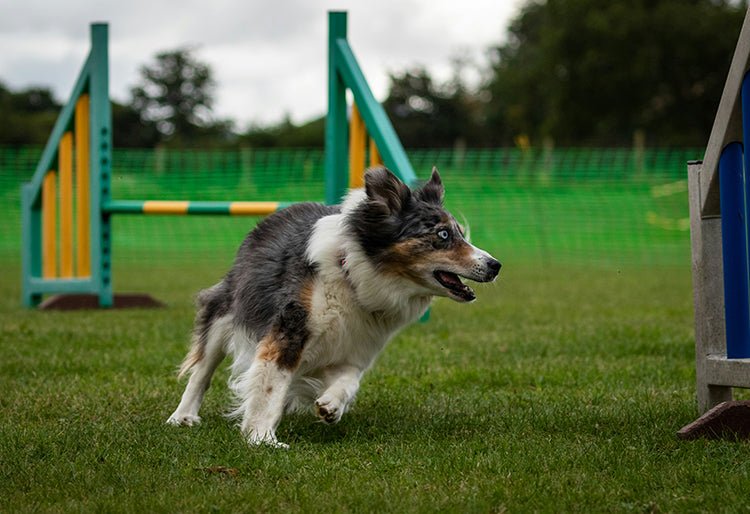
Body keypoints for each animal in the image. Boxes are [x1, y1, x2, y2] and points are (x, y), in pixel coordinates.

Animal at [167, 166, 502, 446]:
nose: (495, 265)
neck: (352, 274)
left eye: (460, 234)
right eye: (443, 235)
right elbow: (270, 384)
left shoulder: (357, 343)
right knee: (202, 369)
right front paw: (262, 438)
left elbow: (350, 378)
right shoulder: (290, 327)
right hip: (225, 310)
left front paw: (331, 406)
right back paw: (183, 416)